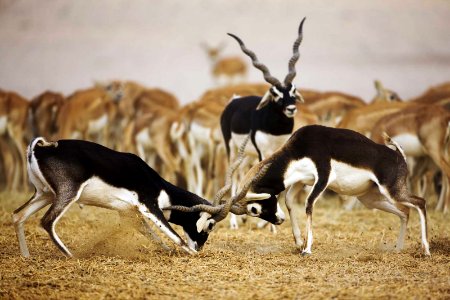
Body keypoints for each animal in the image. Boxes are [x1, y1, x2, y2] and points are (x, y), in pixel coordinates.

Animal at [11, 137, 215, 256]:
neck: (159, 185)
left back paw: (26, 256)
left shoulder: (129, 213)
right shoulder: (149, 206)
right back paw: (71, 256)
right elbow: (174, 235)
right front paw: (191, 253)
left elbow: (153, 236)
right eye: (209, 226)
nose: (200, 247)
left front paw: (168, 251)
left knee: (17, 216)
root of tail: (39, 149)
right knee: (47, 221)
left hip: (44, 194)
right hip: (68, 193)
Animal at [221, 18, 306, 229]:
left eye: (293, 90)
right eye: (275, 93)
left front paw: (264, 225)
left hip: (246, 155)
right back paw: (234, 223)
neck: (275, 130)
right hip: (231, 149)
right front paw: (269, 227)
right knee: (232, 178)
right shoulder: (262, 152)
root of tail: (235, 100)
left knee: (241, 176)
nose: (291, 108)